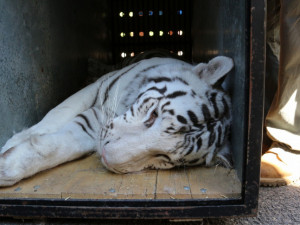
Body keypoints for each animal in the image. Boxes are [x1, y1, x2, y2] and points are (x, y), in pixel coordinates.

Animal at [0, 55, 233, 186]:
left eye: (164, 158)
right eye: (153, 115)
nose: (105, 155)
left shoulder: (94, 127)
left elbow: (63, 146)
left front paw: (8, 166)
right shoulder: (97, 88)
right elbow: (58, 113)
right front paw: (13, 142)